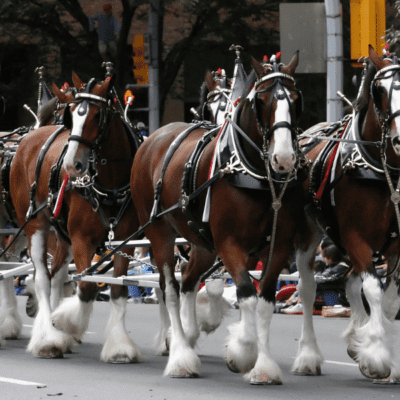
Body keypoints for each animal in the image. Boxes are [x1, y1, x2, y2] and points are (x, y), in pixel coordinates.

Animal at [9, 73, 142, 360]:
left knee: (56, 275)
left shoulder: (126, 241)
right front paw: (65, 323)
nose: (72, 165)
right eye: (72, 116)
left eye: (97, 115)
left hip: (63, 235)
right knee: (42, 279)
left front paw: (119, 346)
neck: (109, 185)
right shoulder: (83, 239)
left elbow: (118, 289)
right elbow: (87, 286)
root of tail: (28, 139)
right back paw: (47, 338)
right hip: (35, 226)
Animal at [130, 51, 310, 382]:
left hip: (201, 242)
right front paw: (243, 350)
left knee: (188, 279)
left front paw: (263, 365)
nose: (284, 159)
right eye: (261, 101)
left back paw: (188, 335)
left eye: (295, 99)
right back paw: (180, 356)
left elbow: (264, 300)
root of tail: (154, 137)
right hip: (159, 232)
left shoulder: (278, 246)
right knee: (170, 288)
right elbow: (246, 293)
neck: (255, 175)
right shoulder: (229, 244)